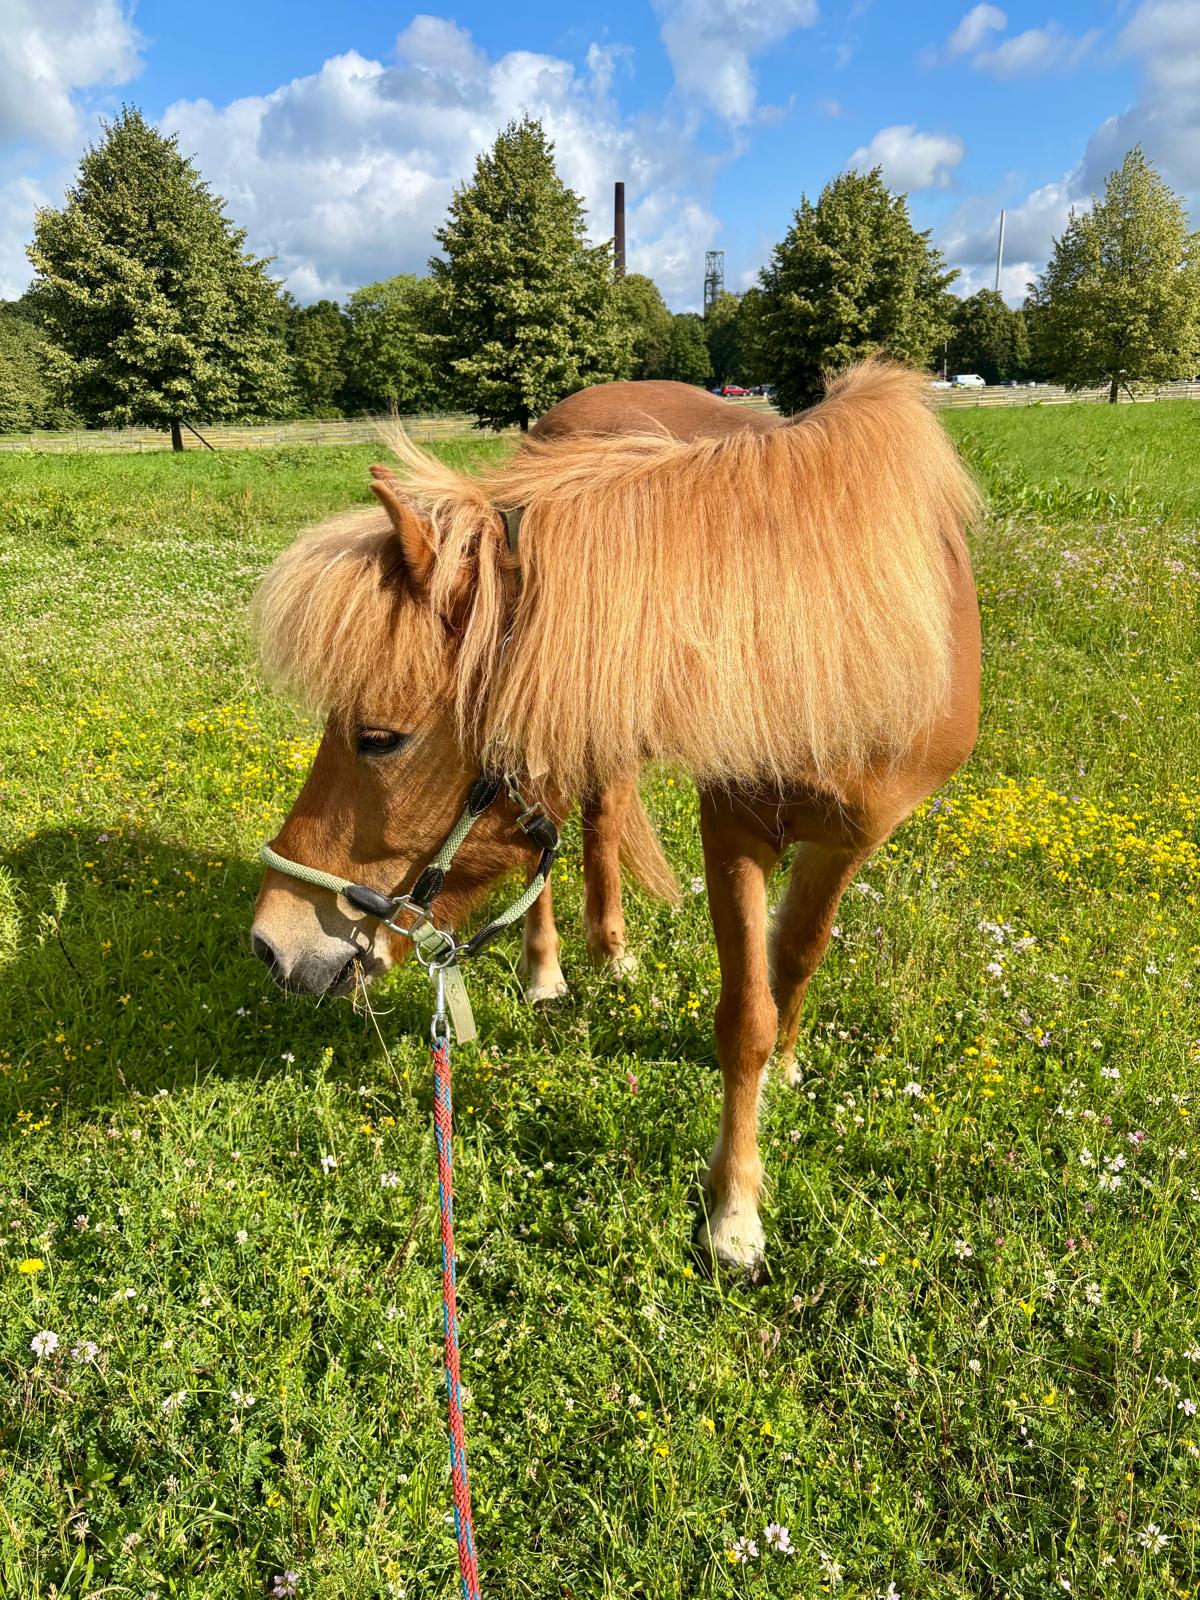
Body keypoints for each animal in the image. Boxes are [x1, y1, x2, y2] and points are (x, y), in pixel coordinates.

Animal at [250, 361, 981, 1276]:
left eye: (378, 738)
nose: (271, 944)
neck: (821, 643)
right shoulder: (731, 830)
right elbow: (743, 1017)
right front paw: (735, 1212)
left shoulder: (851, 841)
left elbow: (798, 960)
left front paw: (784, 1074)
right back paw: (549, 970)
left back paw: (612, 951)